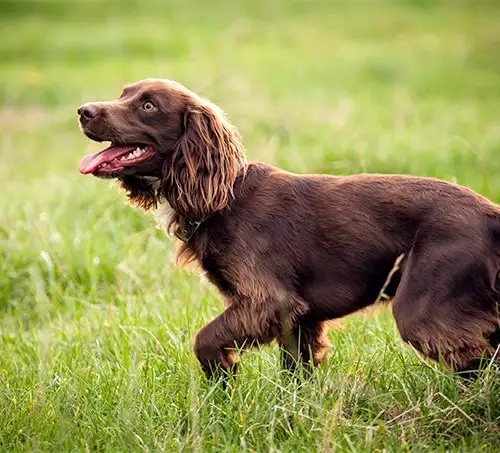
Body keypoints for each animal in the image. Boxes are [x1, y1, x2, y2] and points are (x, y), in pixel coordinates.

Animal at [78, 78, 500, 378]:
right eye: (123, 93)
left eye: (149, 105)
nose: (83, 110)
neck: (225, 198)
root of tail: (491, 215)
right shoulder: (298, 318)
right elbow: (295, 373)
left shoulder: (269, 301)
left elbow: (204, 339)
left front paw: (224, 377)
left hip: (424, 309)